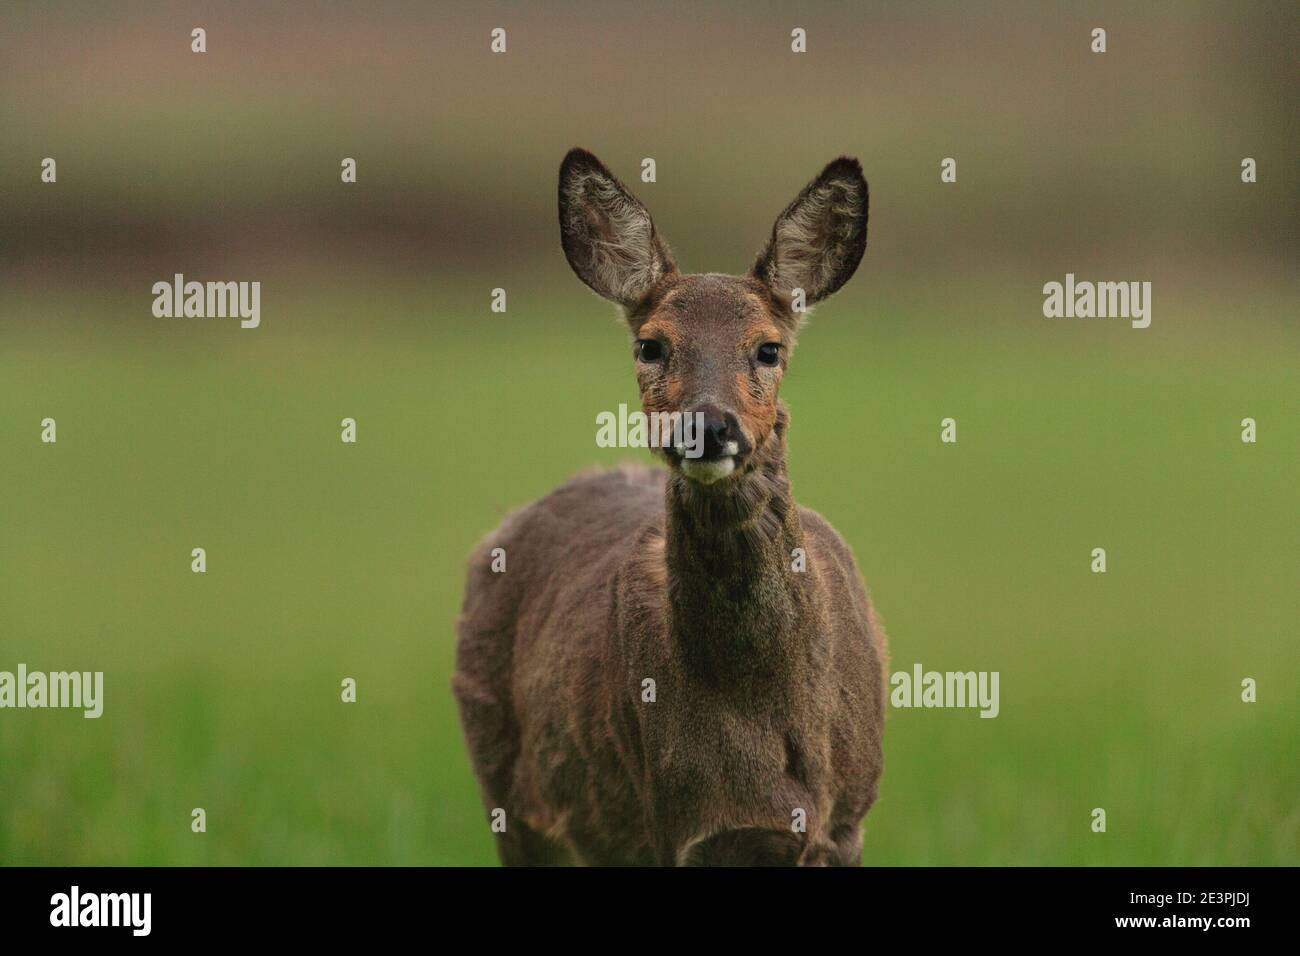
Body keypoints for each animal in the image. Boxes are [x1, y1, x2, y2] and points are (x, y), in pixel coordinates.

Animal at [452, 148, 887, 866]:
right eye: (651, 345)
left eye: (768, 348)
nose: (706, 426)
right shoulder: (680, 822)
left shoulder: (848, 819)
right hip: (508, 790)